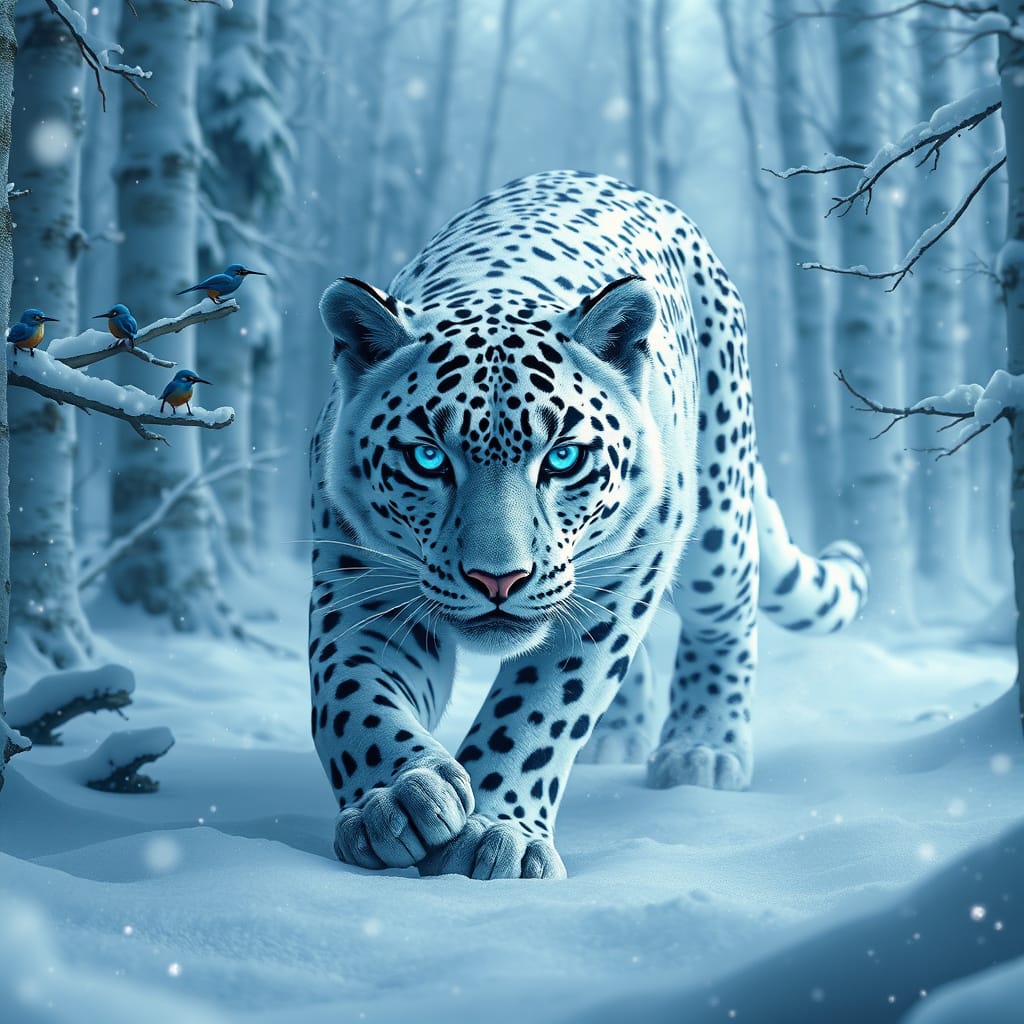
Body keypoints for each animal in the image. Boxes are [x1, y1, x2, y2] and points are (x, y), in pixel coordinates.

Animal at [307, 170, 868, 880]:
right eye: (428, 458)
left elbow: (538, 712)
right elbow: (352, 696)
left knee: (726, 616)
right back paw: (620, 739)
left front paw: (496, 834)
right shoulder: (360, 585)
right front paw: (399, 800)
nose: (498, 580)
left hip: (716, 521)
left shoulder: (621, 585)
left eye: (564, 457)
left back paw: (702, 751)